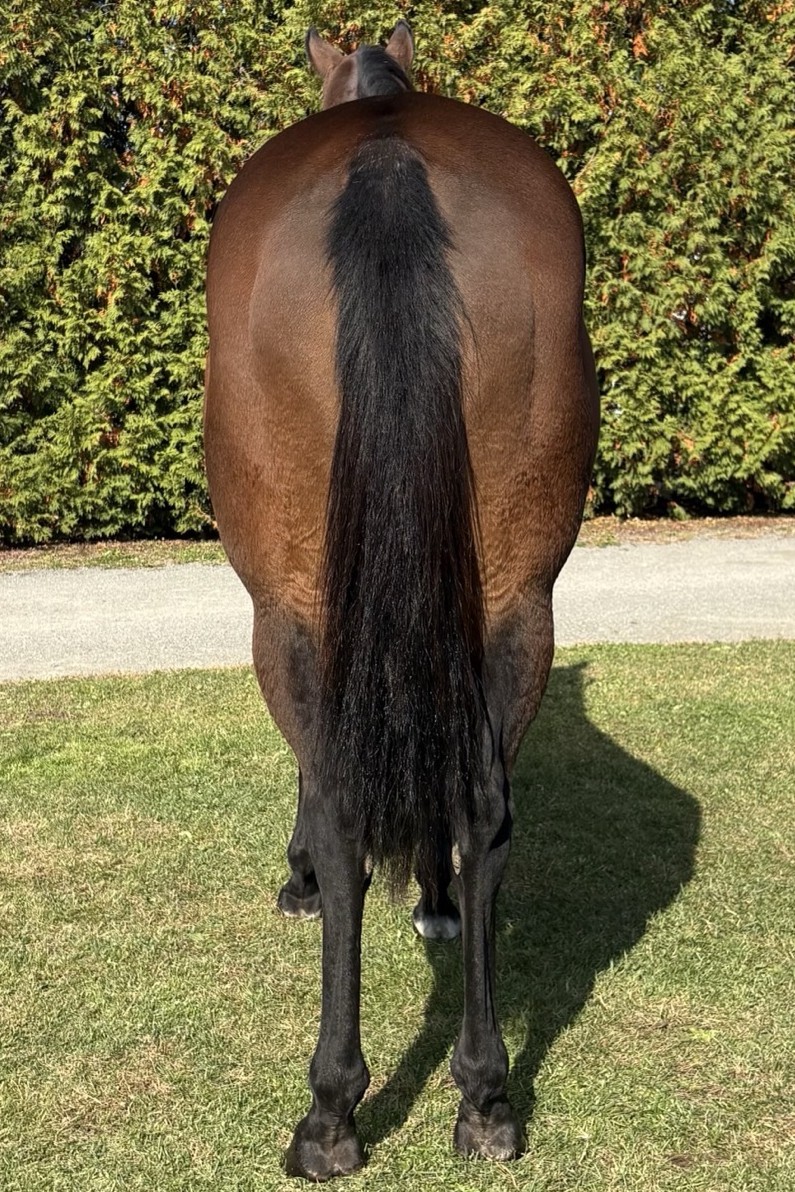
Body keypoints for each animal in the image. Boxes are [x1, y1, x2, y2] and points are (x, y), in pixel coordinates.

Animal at [204, 20, 599, 1181]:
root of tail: (385, 160)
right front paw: (432, 900)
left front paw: (300, 879)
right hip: (516, 599)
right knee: (484, 806)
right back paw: (485, 1095)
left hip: (288, 608)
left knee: (340, 803)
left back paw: (330, 1113)